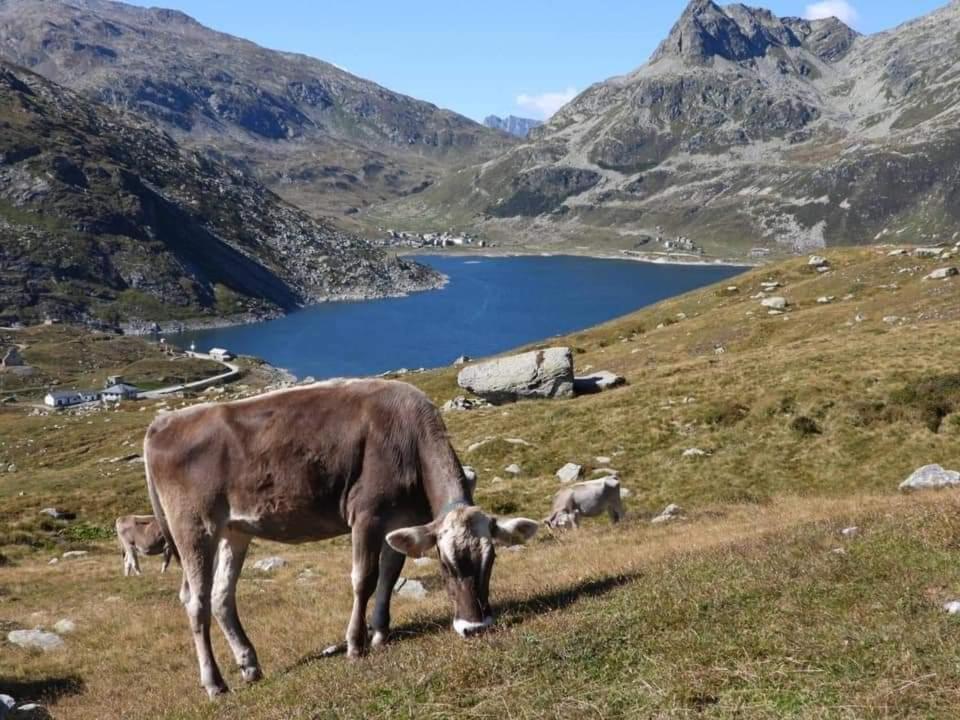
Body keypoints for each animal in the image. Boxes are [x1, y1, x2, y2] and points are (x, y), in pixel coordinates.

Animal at [141, 380, 540, 696]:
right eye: (445, 565)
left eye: (491, 560)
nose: (475, 628)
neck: (407, 439)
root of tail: (163, 422)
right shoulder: (366, 514)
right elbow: (364, 579)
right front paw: (355, 644)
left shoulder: (401, 520)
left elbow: (390, 575)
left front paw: (380, 633)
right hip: (194, 527)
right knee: (196, 601)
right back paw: (214, 683)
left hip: (233, 530)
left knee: (222, 595)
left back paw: (249, 665)